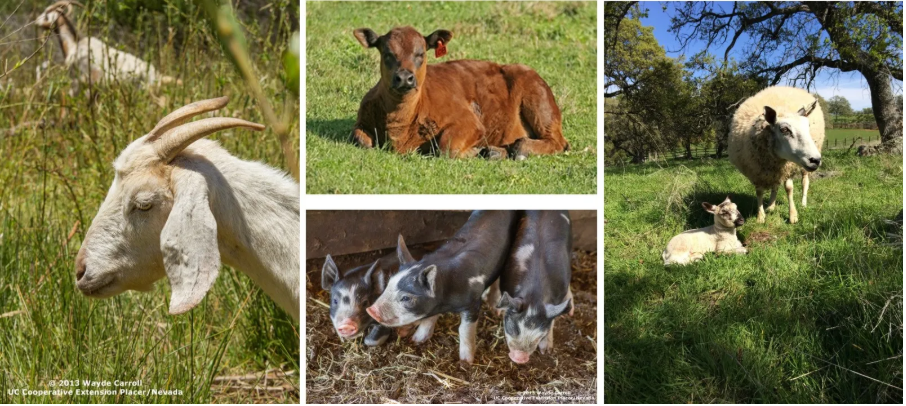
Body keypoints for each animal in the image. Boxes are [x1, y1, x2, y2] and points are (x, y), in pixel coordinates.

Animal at [35, 1, 180, 101]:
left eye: (46, 14)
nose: (35, 21)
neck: (74, 45)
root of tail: (158, 75)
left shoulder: (81, 83)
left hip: (147, 91)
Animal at [350, 26, 569, 160]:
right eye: (387, 54)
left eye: (420, 53)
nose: (404, 77)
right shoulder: (361, 121)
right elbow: (360, 139)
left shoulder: (470, 122)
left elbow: (447, 148)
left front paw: (477, 151)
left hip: (540, 105)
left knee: (557, 142)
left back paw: (514, 149)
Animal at [728, 86, 825, 224]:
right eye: (784, 130)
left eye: (808, 127)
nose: (816, 160)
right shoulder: (757, 171)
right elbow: (759, 192)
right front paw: (761, 216)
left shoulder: (788, 168)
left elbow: (789, 188)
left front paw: (793, 215)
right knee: (775, 185)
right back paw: (771, 206)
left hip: (802, 167)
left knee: (804, 181)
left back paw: (803, 203)